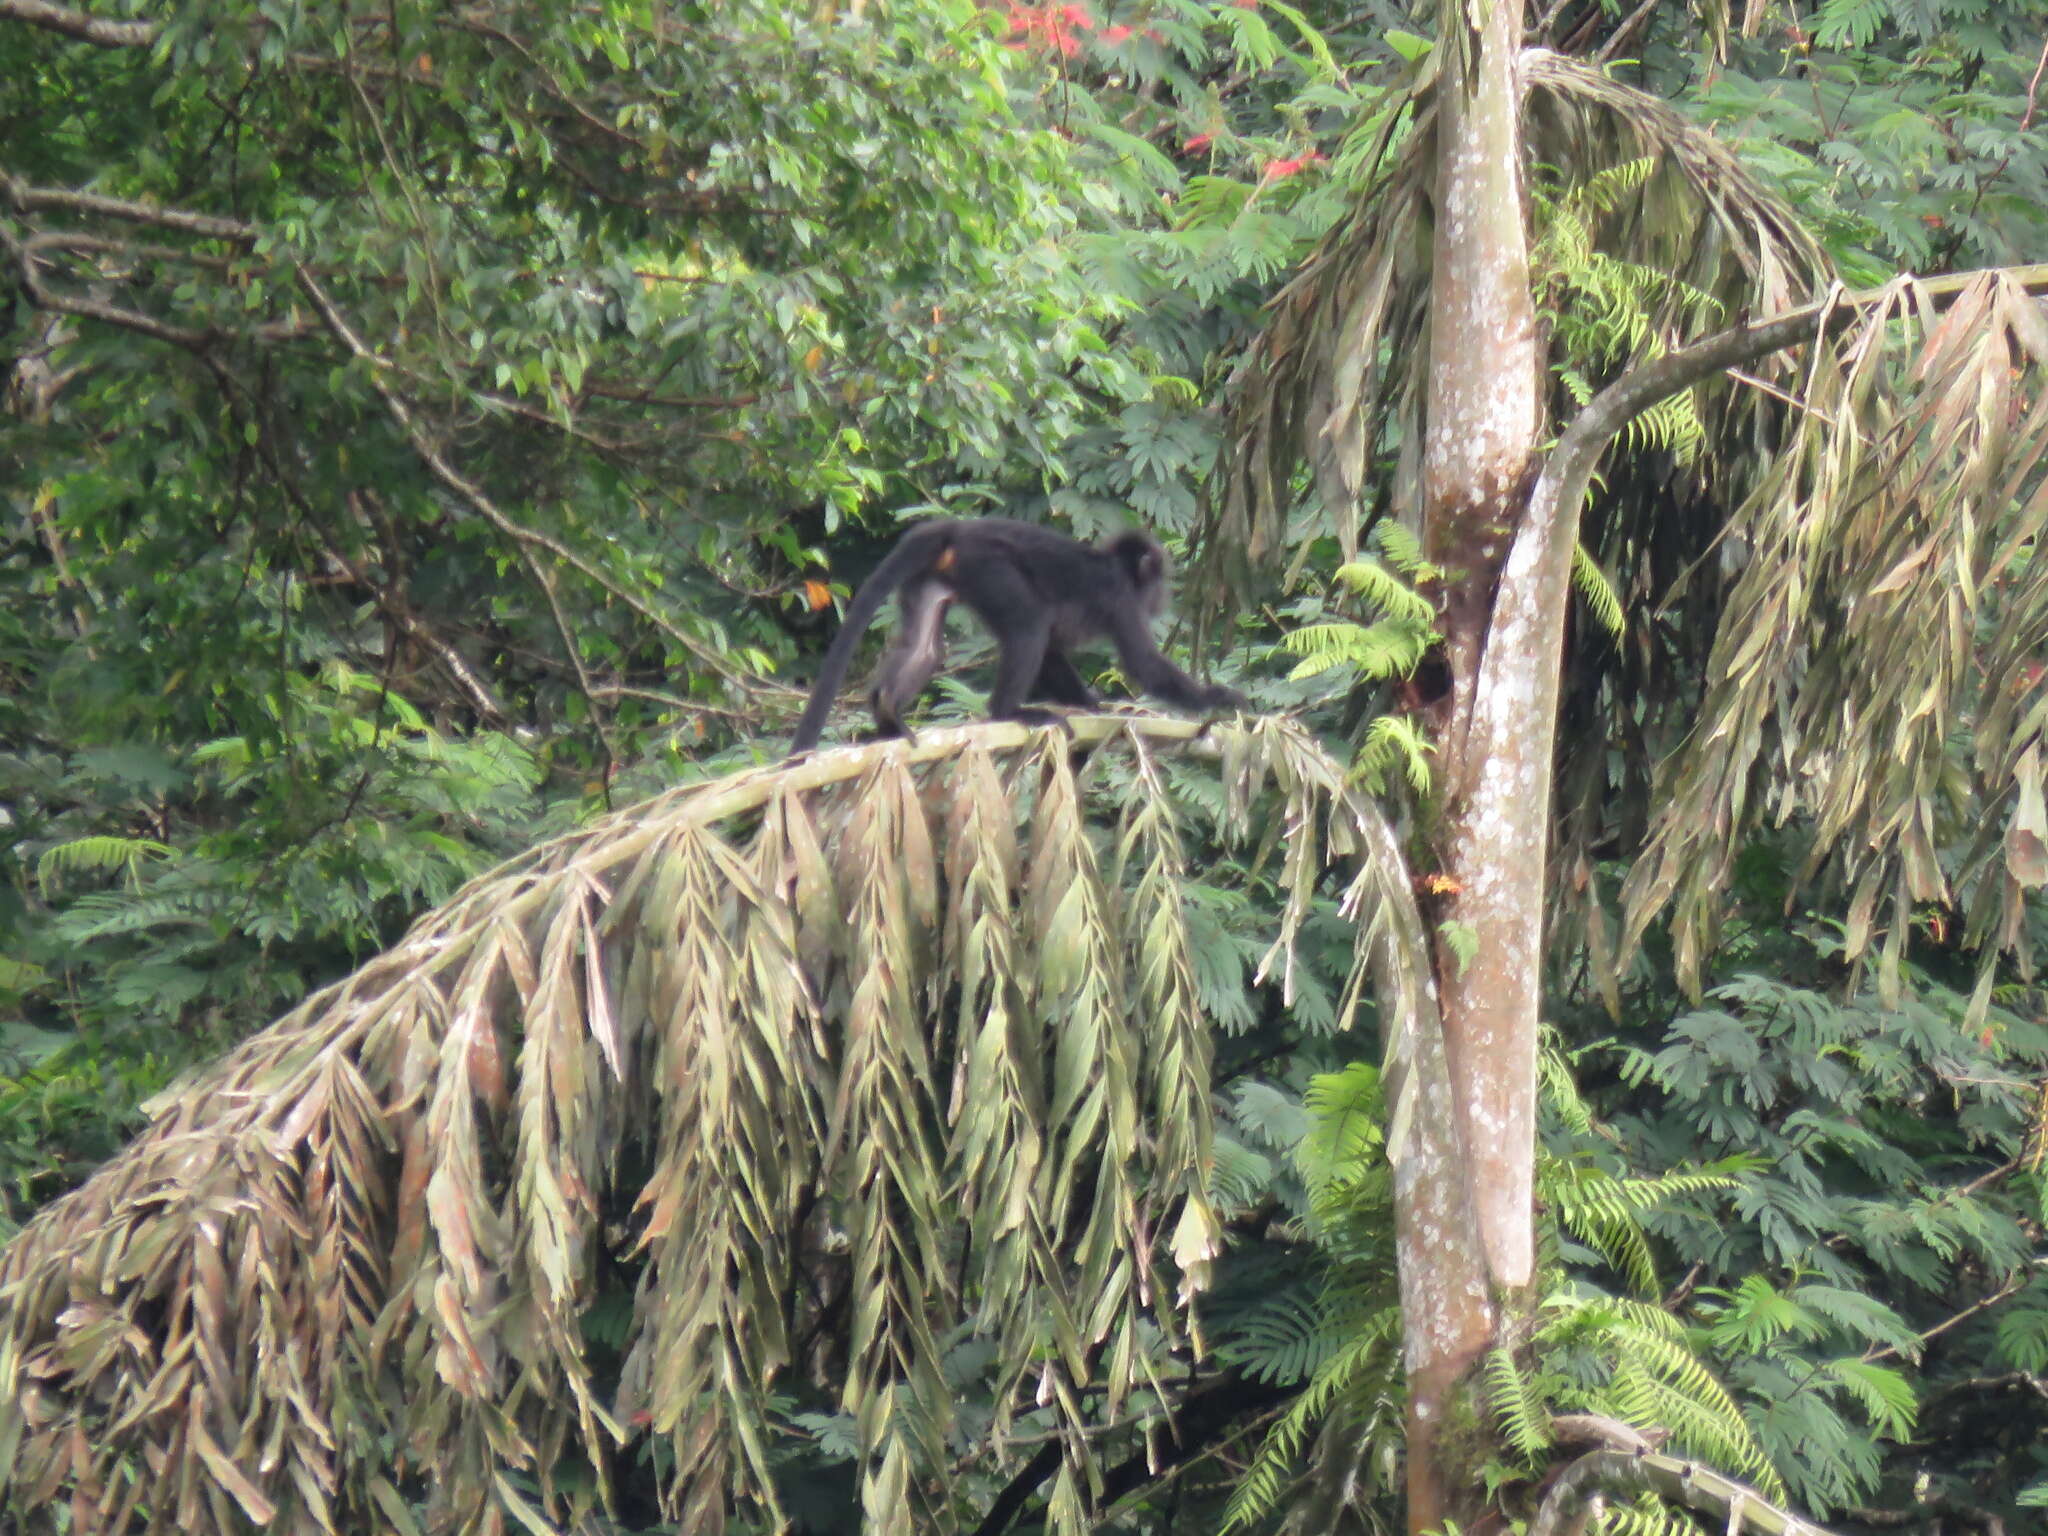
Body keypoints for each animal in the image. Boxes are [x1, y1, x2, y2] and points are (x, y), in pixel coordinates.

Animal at [790, 520, 1245, 753]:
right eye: (1158, 582)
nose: (1163, 596)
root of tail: (957, 528)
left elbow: (1053, 653)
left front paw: (1090, 703)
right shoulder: (1121, 600)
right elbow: (1143, 664)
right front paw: (1217, 699)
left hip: (945, 572)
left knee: (926, 644)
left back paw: (886, 711)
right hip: (990, 565)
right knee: (1029, 622)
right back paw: (1008, 711)